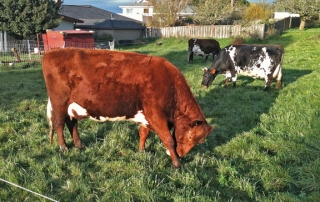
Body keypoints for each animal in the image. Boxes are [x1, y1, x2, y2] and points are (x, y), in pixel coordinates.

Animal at [42, 47, 212, 167]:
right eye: (190, 137)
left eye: (198, 141)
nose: (181, 154)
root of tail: (52, 52)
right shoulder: (156, 115)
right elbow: (169, 140)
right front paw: (177, 164)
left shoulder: (147, 116)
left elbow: (143, 134)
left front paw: (142, 151)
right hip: (60, 103)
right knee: (59, 124)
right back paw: (64, 147)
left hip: (72, 106)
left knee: (72, 124)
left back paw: (79, 145)